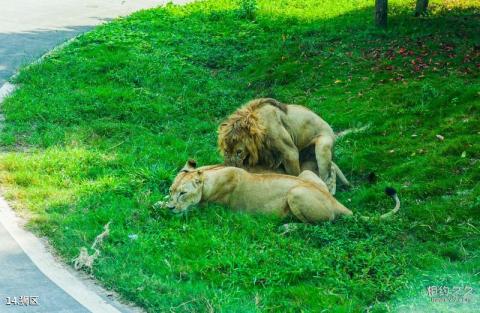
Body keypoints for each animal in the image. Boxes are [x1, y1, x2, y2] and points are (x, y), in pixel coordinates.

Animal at [163, 160, 400, 223]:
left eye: (183, 193)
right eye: (172, 190)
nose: (172, 207)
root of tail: (337, 204)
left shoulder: (211, 208)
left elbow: (189, 209)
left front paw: (163, 208)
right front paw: (163, 203)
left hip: (296, 193)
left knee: (321, 224)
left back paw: (287, 227)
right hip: (306, 173)